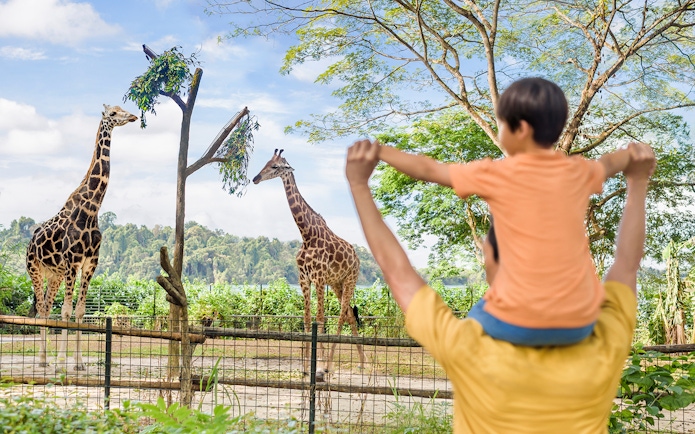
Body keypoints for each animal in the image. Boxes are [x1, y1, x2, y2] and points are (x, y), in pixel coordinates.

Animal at [26, 104, 137, 372]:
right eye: (113, 113)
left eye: (122, 109)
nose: (133, 116)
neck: (92, 210)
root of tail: (29, 243)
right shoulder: (72, 262)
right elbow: (66, 311)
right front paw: (61, 363)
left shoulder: (89, 264)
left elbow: (79, 310)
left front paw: (78, 363)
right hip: (35, 269)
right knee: (43, 307)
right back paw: (44, 360)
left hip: (54, 275)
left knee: (46, 307)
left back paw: (45, 359)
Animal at [253, 149, 366, 381]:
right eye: (266, 162)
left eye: (275, 167)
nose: (255, 178)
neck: (306, 234)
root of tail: (357, 258)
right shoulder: (304, 279)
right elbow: (306, 320)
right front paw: (305, 368)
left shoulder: (319, 278)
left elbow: (320, 319)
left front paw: (320, 367)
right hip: (337, 283)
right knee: (350, 315)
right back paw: (362, 363)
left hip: (351, 279)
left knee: (341, 316)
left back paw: (331, 366)